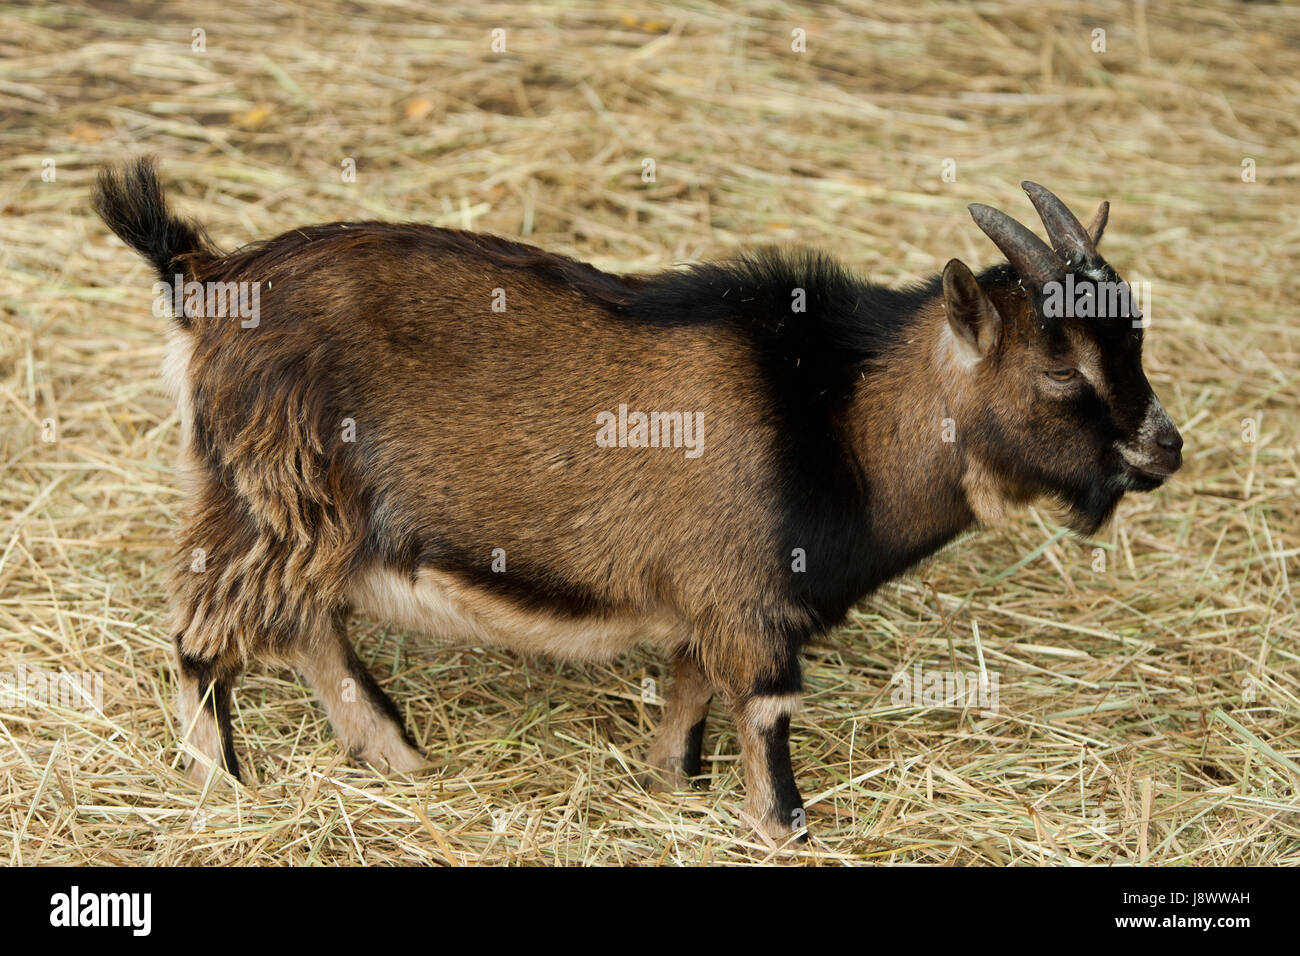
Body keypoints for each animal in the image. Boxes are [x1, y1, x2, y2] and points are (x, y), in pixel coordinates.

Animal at [93, 159, 1182, 841]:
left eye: (1131, 335)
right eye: (1059, 367)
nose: (1161, 445)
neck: (832, 412)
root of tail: (206, 278)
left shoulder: (706, 605)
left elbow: (687, 704)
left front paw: (672, 786)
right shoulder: (748, 602)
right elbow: (766, 731)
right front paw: (780, 826)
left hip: (299, 518)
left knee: (305, 625)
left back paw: (397, 756)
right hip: (279, 500)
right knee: (207, 628)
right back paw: (226, 782)